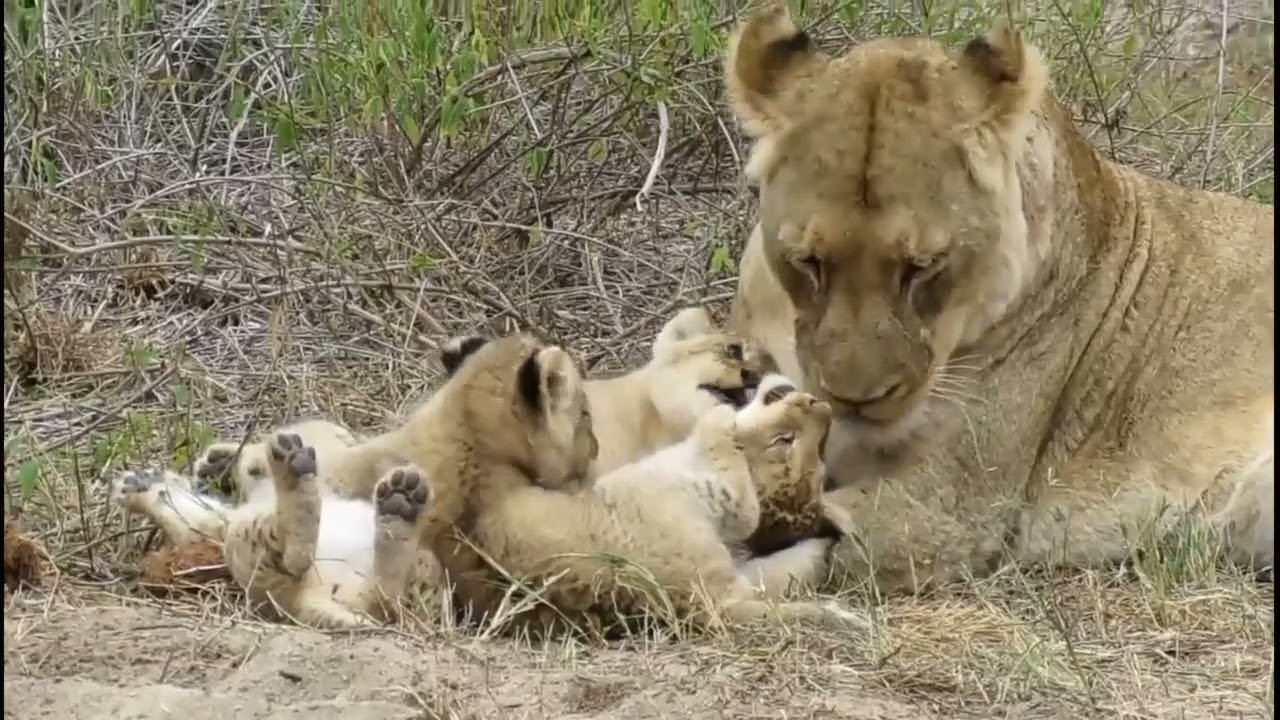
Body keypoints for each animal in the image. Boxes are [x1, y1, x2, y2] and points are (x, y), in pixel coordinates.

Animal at [112, 434, 439, 628]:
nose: (135, 477)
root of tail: (308, 598)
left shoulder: (217, 522)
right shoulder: (218, 527)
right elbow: (188, 515)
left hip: (425, 567)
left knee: (389, 600)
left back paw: (400, 501)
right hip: (250, 552)